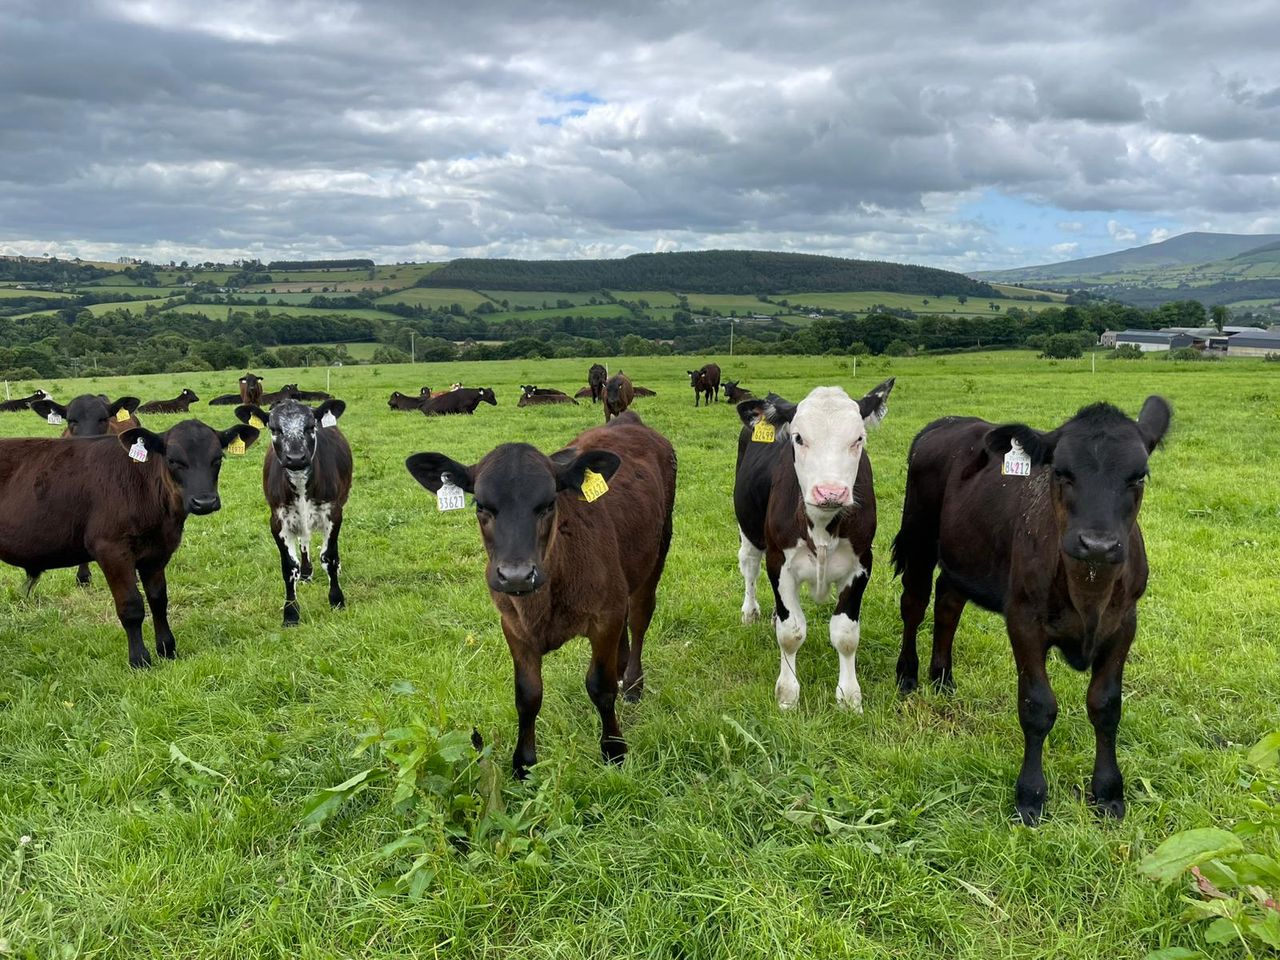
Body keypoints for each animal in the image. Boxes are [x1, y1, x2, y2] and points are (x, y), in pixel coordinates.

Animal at [0, 419, 259, 666]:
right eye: (173, 460)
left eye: (218, 458)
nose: (204, 502)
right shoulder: (111, 549)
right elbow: (131, 606)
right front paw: (139, 659)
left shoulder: (157, 552)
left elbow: (158, 600)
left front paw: (167, 649)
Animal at [235, 400, 352, 626]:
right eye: (275, 429)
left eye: (310, 427)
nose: (296, 458)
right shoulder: (278, 521)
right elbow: (289, 566)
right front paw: (290, 613)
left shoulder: (333, 513)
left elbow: (329, 557)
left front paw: (336, 600)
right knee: (304, 540)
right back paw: (306, 573)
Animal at [405, 410, 677, 777]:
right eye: (481, 505)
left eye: (548, 504)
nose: (516, 574)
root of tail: (628, 420)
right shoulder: (513, 625)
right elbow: (528, 695)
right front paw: (523, 764)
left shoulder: (603, 617)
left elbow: (600, 687)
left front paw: (614, 750)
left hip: (658, 549)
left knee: (639, 617)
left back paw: (633, 683)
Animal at [733, 379, 895, 712]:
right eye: (798, 438)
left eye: (858, 438)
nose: (830, 492)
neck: (822, 525)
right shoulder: (779, 561)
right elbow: (791, 632)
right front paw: (787, 694)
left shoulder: (862, 563)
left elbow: (845, 634)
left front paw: (849, 697)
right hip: (748, 529)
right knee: (750, 567)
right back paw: (750, 611)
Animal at [891, 397, 1172, 825]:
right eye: (1061, 472)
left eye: (1138, 477)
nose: (1097, 544)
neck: (1088, 593)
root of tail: (948, 422)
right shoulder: (1023, 619)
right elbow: (1037, 706)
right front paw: (1030, 796)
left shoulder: (1124, 623)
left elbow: (1106, 705)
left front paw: (1108, 792)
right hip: (919, 536)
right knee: (915, 603)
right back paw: (908, 675)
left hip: (963, 554)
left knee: (948, 604)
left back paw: (942, 679)